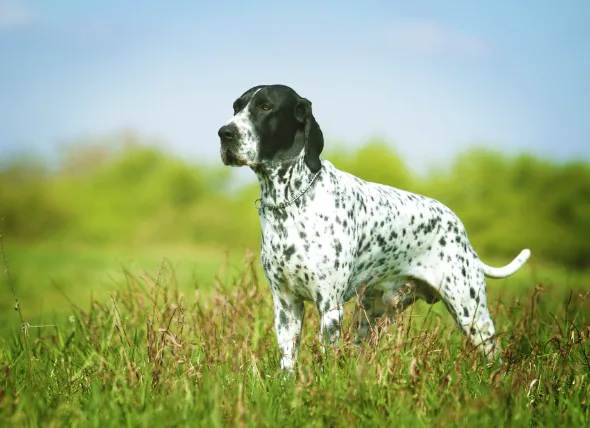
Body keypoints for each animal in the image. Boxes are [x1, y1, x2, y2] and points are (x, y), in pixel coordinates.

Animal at [220, 83, 536, 372]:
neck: (290, 202)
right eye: (236, 107)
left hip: (472, 315)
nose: (224, 133)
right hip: (371, 318)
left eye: (265, 107)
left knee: (494, 358)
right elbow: (288, 363)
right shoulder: (286, 305)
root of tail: (459, 228)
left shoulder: (329, 306)